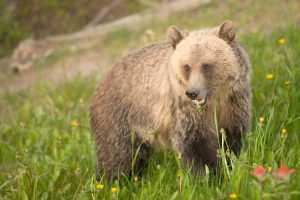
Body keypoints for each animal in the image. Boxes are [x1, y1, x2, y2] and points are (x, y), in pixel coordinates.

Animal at [88, 20, 251, 180]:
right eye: (187, 66)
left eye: (206, 65)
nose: (192, 92)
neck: (215, 101)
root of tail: (99, 84)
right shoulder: (185, 112)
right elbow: (195, 146)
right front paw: (208, 176)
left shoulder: (234, 104)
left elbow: (232, 139)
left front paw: (230, 166)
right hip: (119, 119)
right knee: (117, 155)